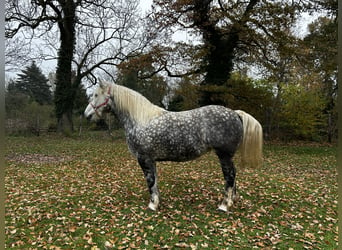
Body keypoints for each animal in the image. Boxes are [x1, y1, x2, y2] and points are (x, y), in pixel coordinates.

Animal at [84, 80, 264, 213]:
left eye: (96, 95)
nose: (87, 115)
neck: (141, 119)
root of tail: (235, 113)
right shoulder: (151, 160)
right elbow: (155, 181)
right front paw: (157, 201)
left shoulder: (144, 158)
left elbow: (150, 181)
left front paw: (152, 205)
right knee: (234, 175)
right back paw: (232, 201)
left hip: (224, 155)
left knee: (230, 176)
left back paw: (224, 205)